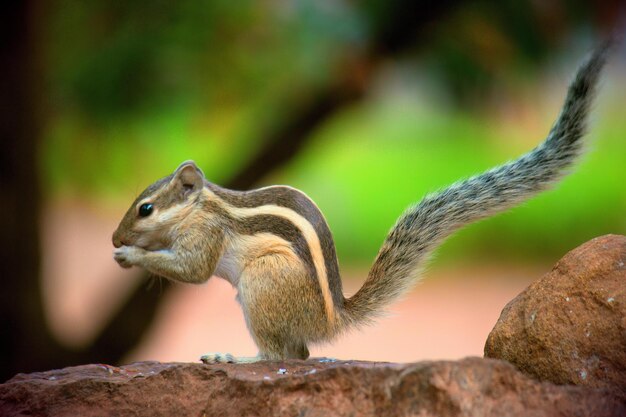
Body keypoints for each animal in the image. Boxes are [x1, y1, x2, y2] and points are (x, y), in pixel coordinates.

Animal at [112, 40, 608, 362]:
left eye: (145, 208)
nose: (114, 238)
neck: (202, 205)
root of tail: (331, 322)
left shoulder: (207, 234)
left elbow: (193, 270)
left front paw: (132, 255)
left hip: (264, 282)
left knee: (284, 356)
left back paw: (235, 358)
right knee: (301, 354)